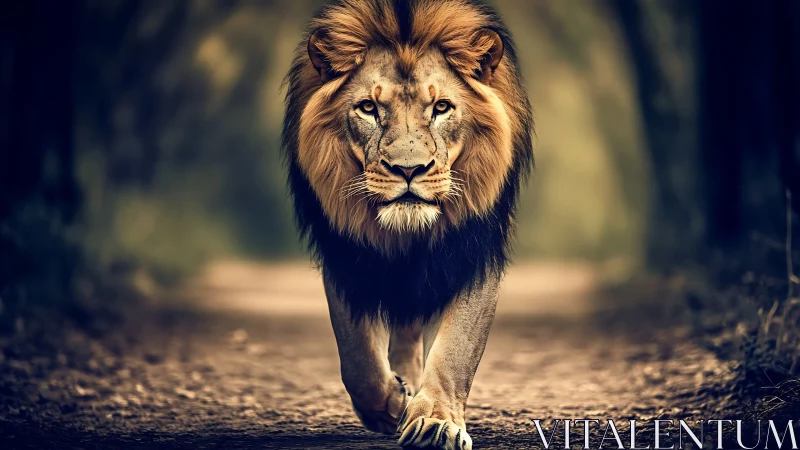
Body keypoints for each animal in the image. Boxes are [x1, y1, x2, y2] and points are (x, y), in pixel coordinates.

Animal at [282, 0, 533, 448]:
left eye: (441, 108)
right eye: (368, 108)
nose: (409, 169)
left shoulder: (471, 251)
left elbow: (456, 349)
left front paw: (434, 421)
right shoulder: (346, 255)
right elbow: (356, 356)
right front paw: (390, 405)